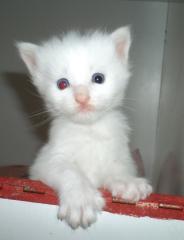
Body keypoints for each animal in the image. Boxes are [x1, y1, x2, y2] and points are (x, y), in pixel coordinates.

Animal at [16, 26, 152, 229]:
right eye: (62, 83)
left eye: (98, 78)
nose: (82, 97)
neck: (89, 130)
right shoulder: (44, 162)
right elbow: (68, 170)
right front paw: (80, 199)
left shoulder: (119, 153)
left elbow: (118, 166)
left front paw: (127, 181)